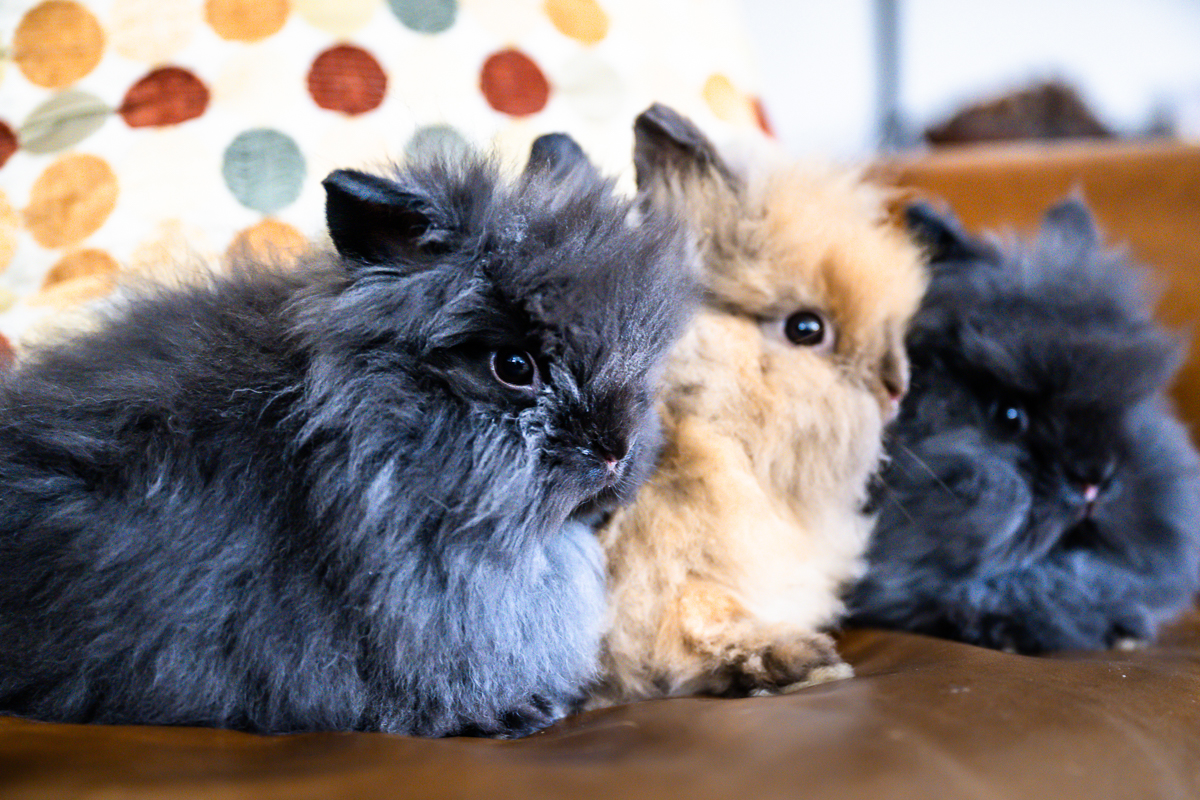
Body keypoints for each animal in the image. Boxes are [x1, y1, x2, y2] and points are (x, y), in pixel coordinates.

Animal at [591, 104, 927, 704]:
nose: (896, 385)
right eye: (805, 329)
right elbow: (695, 620)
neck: (705, 424)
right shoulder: (657, 581)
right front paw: (804, 659)